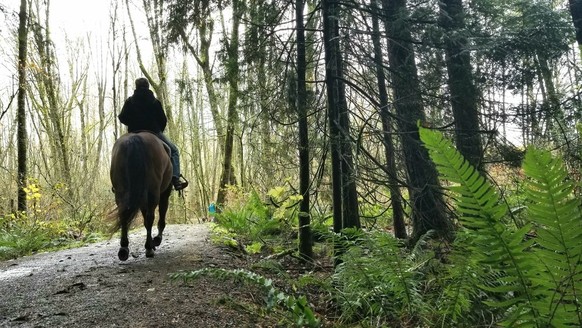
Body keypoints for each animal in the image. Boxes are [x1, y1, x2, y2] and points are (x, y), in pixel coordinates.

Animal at [109, 131, 173, 262]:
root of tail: (135, 138)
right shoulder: (165, 193)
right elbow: (160, 215)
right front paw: (157, 240)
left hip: (121, 192)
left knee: (123, 214)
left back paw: (124, 249)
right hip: (154, 192)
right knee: (150, 217)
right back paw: (149, 247)